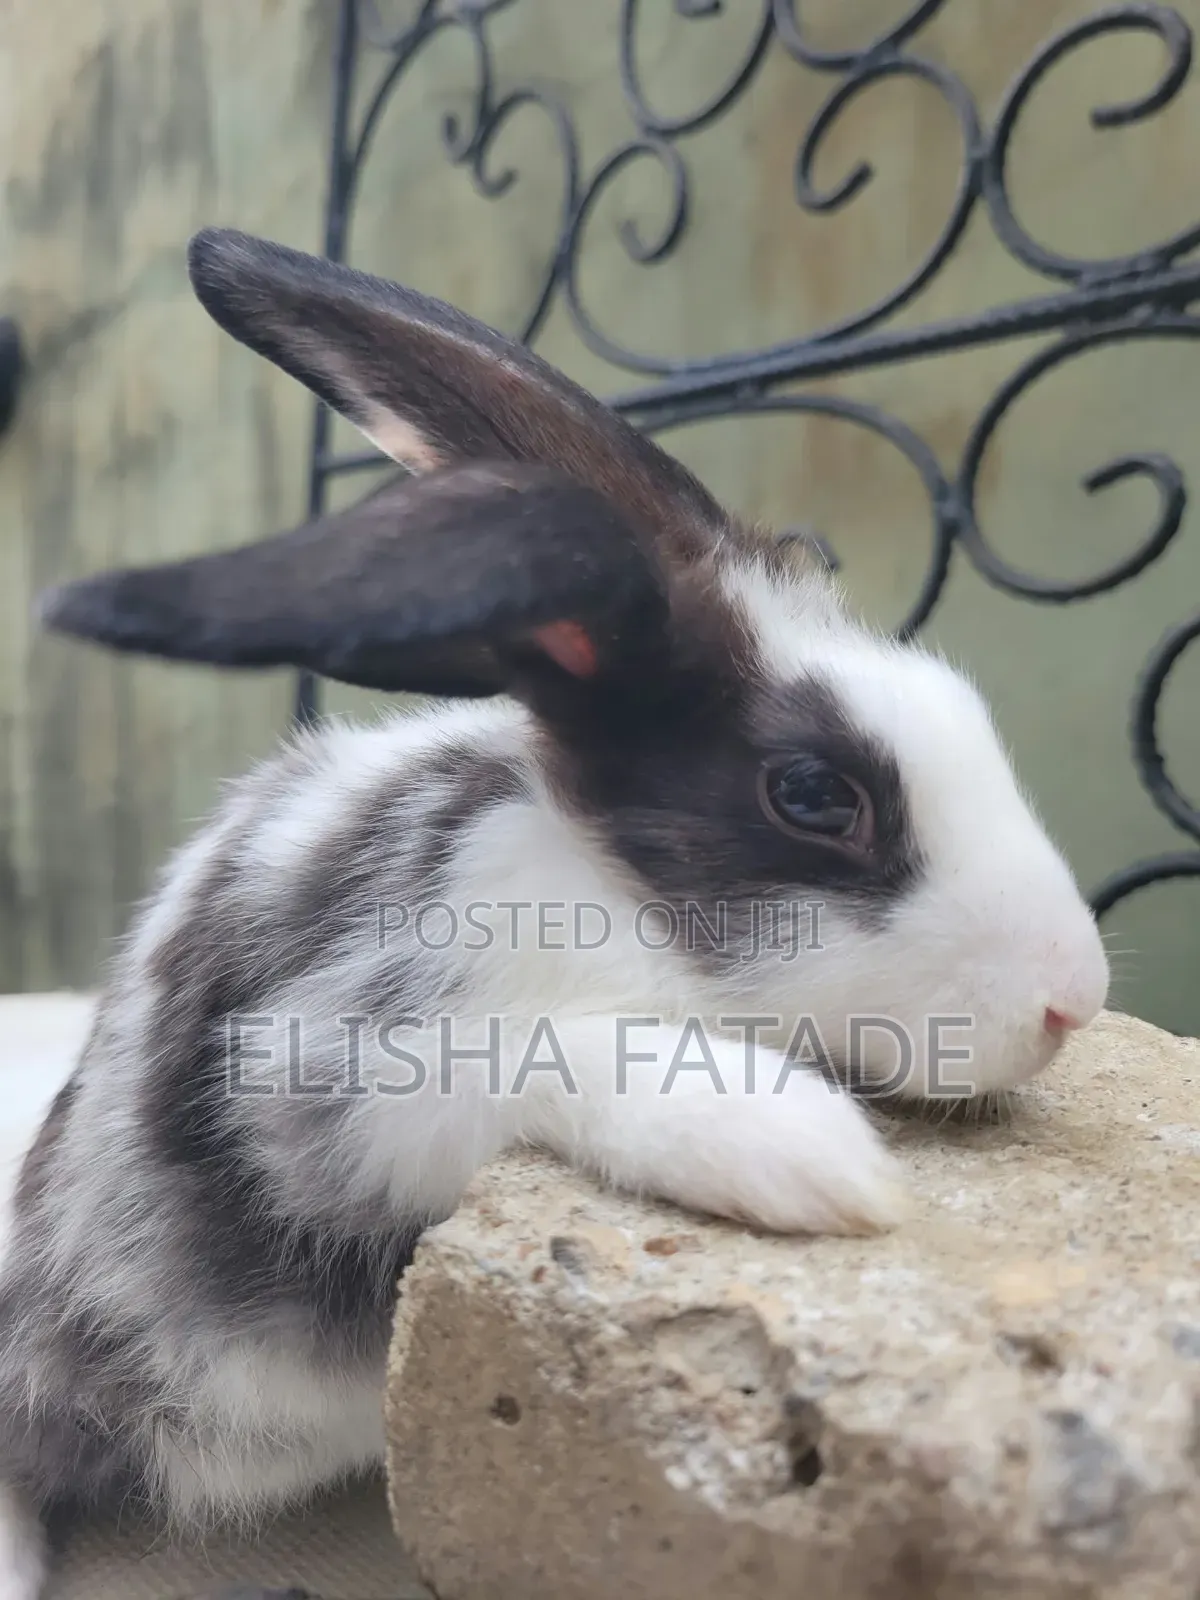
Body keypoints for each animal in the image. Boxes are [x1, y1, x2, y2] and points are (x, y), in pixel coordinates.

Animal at [0, 227, 1109, 1599]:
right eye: (813, 795)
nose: (1075, 999)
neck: (607, 893)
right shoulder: (320, 1082)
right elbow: (538, 1056)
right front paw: (805, 1153)